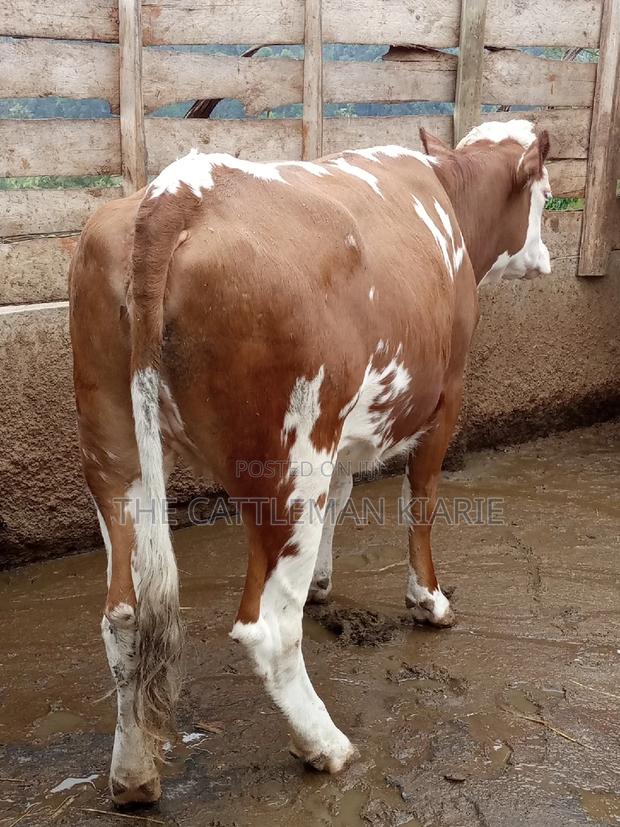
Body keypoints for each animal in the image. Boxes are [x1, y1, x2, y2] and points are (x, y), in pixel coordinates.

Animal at [69, 119, 551, 805]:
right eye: (546, 194)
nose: (548, 258)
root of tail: (177, 191)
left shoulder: (344, 430)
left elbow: (344, 498)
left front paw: (323, 582)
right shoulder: (446, 397)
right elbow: (422, 501)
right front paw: (429, 601)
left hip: (116, 453)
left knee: (126, 616)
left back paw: (134, 776)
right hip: (288, 464)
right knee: (267, 626)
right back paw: (325, 745)